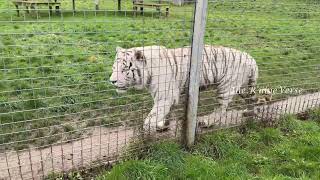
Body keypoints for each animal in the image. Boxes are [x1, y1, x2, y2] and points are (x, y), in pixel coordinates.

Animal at [109, 45, 258, 131]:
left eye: (124, 69)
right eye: (114, 68)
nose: (112, 81)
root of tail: (251, 58)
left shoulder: (165, 96)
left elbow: (152, 117)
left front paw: (146, 135)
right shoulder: (169, 96)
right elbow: (166, 112)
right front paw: (163, 126)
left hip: (226, 87)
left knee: (220, 109)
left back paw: (206, 122)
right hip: (242, 87)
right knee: (253, 99)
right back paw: (250, 114)